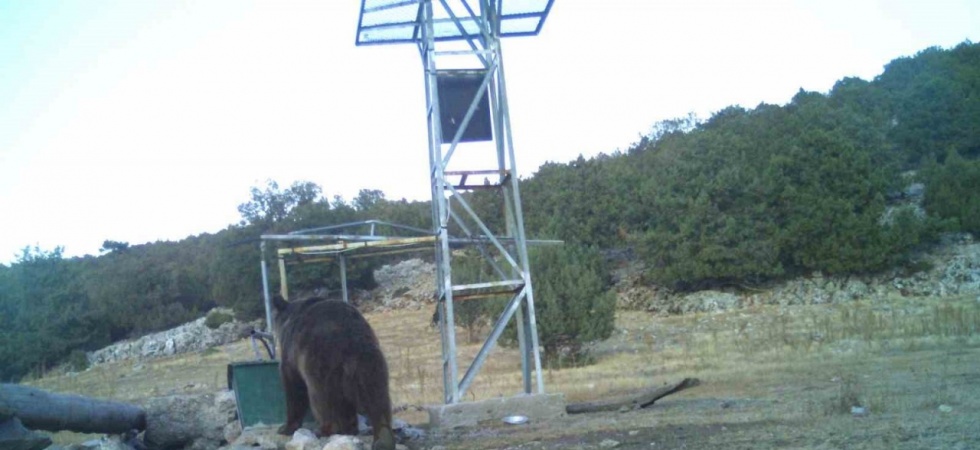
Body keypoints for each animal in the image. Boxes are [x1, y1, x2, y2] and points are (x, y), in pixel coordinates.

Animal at [272, 296, 394, 450]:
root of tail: (352, 338)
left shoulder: (291, 354)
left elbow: (294, 386)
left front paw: (286, 427)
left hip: (320, 362)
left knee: (321, 399)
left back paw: (323, 430)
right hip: (370, 364)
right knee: (377, 399)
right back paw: (382, 438)